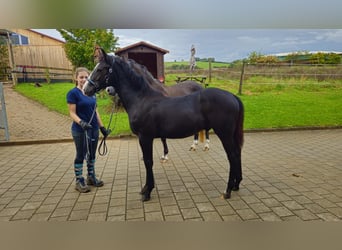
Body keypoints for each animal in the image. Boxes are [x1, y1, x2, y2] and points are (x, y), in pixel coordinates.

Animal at [83, 48, 243, 201]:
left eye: (100, 69)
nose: (86, 89)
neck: (142, 99)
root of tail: (232, 96)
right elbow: (148, 160)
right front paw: (145, 189)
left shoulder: (145, 137)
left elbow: (148, 162)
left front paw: (147, 192)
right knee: (237, 154)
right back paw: (236, 185)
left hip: (224, 134)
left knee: (232, 156)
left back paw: (227, 191)